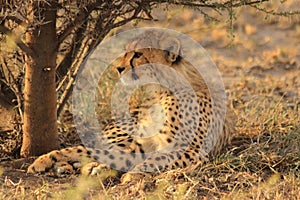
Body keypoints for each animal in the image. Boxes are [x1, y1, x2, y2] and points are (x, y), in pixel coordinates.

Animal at [27, 29, 234, 183]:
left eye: (138, 54)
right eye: (126, 51)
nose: (118, 68)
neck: (162, 90)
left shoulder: (189, 149)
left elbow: (157, 158)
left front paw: (133, 174)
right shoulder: (143, 145)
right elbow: (115, 155)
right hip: (123, 135)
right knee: (90, 148)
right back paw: (48, 160)